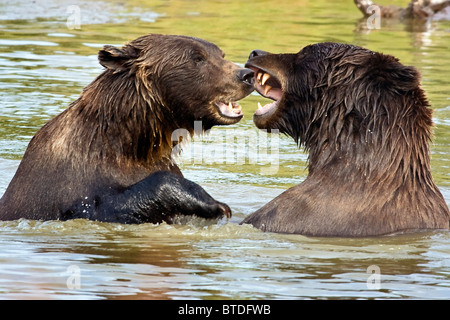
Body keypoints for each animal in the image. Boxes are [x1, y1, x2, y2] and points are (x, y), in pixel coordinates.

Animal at [0, 33, 253, 224]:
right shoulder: (70, 186)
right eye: (197, 58)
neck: (133, 143)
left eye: (220, 54)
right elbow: (105, 206)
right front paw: (215, 204)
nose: (246, 75)